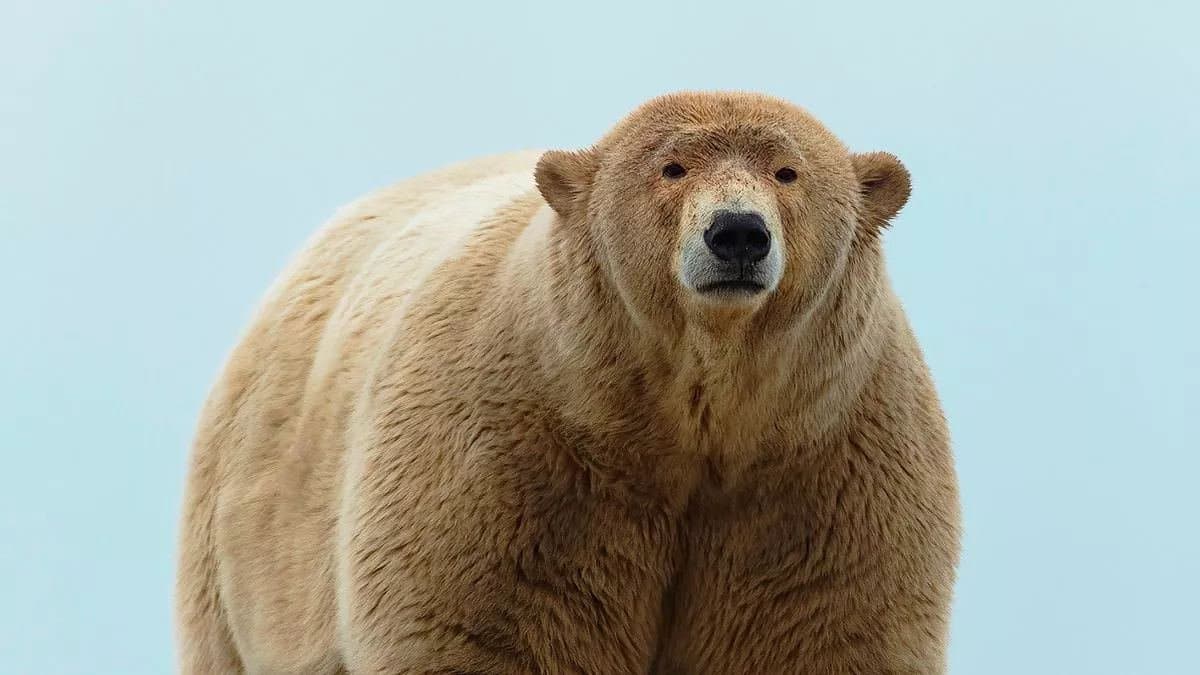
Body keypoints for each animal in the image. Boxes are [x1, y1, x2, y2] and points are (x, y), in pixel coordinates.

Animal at [175, 91, 961, 674]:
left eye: (787, 171)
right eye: (672, 167)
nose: (737, 233)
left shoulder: (822, 473)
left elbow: (814, 628)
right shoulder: (513, 460)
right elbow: (491, 626)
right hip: (242, 544)